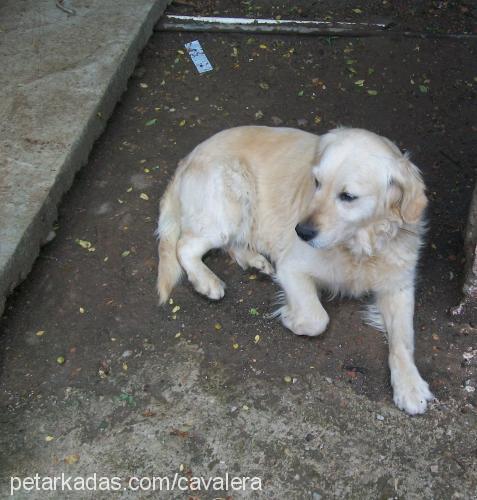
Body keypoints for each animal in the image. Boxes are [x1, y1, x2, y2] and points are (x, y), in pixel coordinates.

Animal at [158, 126, 434, 414]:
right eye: (317, 182)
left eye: (348, 197)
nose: (301, 232)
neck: (357, 248)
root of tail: (189, 156)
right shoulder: (292, 267)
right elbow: (317, 319)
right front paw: (291, 318)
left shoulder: (398, 287)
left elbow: (403, 340)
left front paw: (410, 385)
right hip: (229, 206)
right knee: (185, 246)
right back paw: (206, 281)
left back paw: (253, 260)